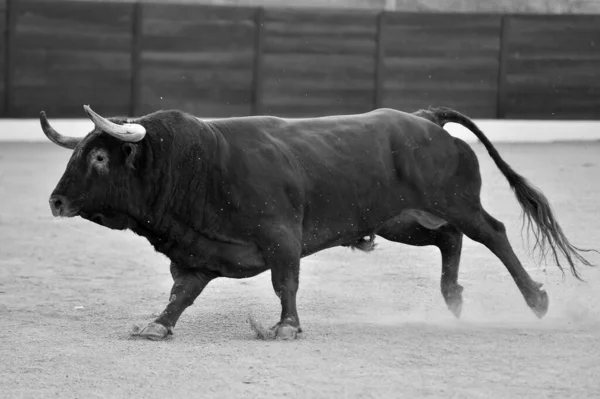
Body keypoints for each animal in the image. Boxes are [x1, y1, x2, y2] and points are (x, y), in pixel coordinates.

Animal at [42, 105, 596, 340]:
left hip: (457, 200)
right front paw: (156, 326)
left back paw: (537, 300)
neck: (195, 165)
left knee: (491, 233)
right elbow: (182, 293)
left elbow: (285, 282)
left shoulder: (281, 238)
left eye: (98, 157)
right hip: (399, 220)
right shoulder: (197, 252)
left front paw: (286, 328)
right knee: (449, 239)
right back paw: (454, 299)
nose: (56, 201)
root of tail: (427, 119)